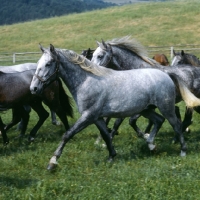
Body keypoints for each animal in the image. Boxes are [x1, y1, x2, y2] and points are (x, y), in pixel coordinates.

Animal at [30, 44, 192, 170]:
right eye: (38, 63)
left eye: (48, 63)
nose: (34, 88)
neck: (86, 81)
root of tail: (167, 74)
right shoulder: (97, 117)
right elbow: (106, 135)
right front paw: (111, 156)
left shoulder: (88, 116)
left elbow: (67, 134)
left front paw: (52, 162)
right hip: (147, 110)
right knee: (159, 120)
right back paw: (151, 145)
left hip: (166, 108)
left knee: (176, 125)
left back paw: (183, 151)